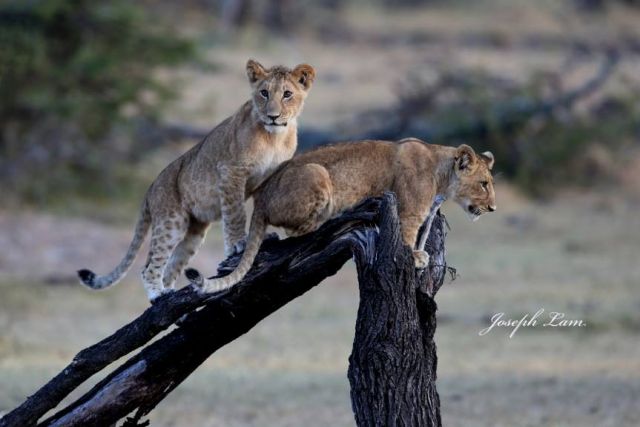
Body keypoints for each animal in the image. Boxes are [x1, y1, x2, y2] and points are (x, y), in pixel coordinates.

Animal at [78, 59, 315, 301]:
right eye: (264, 93)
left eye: (287, 94)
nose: (272, 116)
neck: (274, 137)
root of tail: (151, 187)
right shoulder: (231, 172)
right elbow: (235, 214)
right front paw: (238, 244)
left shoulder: (268, 177)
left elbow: (258, 212)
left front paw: (262, 236)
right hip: (171, 221)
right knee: (149, 266)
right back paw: (156, 294)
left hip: (194, 233)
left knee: (172, 265)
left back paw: (168, 292)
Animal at [187, 138, 496, 293]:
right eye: (484, 183)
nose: (493, 208)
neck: (443, 180)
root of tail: (261, 196)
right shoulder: (409, 210)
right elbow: (408, 236)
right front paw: (415, 257)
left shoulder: (429, 215)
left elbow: (422, 236)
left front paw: (422, 256)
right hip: (317, 173)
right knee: (295, 232)